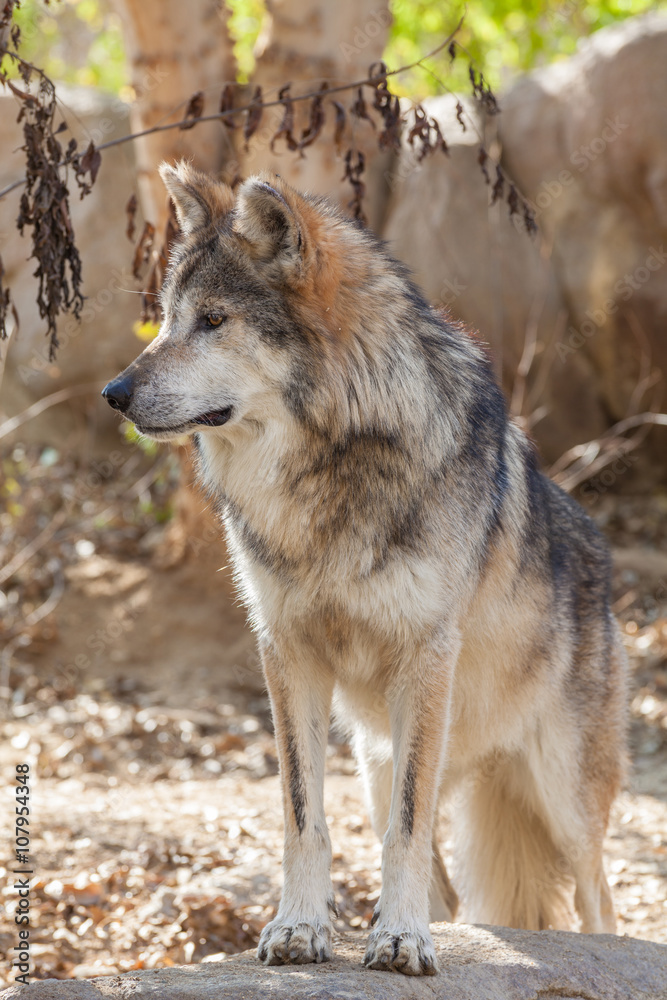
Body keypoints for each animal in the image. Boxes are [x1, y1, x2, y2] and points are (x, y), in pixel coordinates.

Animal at [102, 162, 627, 976]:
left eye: (214, 320)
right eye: (166, 319)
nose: (114, 394)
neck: (328, 467)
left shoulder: (424, 657)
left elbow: (405, 829)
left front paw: (401, 940)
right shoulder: (287, 655)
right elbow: (302, 816)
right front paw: (299, 928)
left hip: (562, 793)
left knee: (599, 904)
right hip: (383, 756)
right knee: (448, 884)